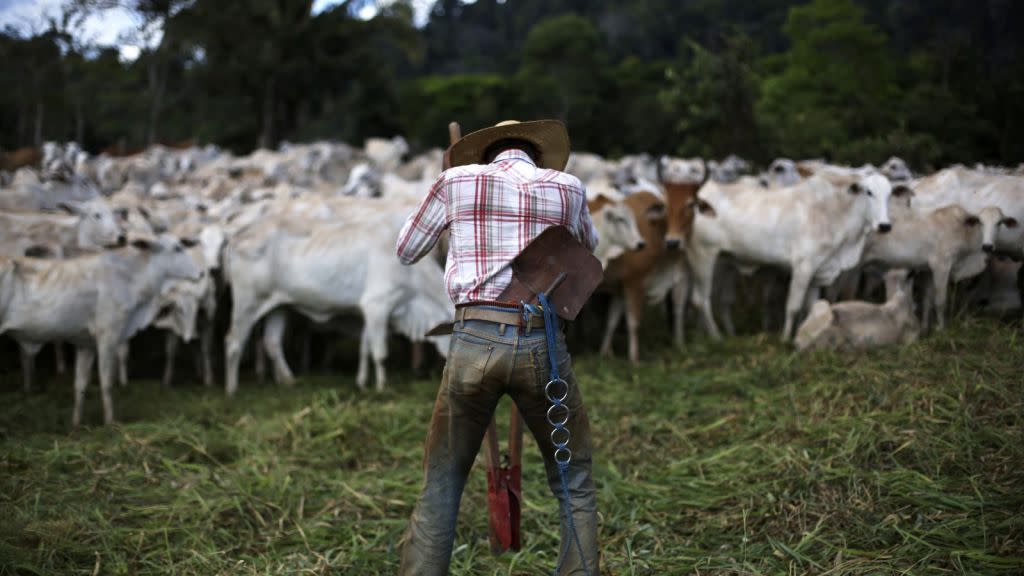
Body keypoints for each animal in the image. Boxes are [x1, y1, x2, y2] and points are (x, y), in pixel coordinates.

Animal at [0, 234, 201, 426]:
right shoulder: (108, 336)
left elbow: (80, 385)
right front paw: (110, 423)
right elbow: (106, 383)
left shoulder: (85, 343)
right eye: (177, 248)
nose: (201, 273)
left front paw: (76, 425)